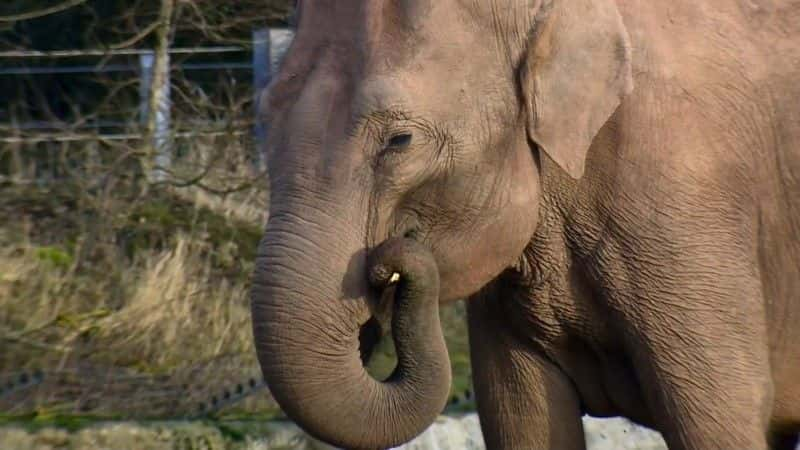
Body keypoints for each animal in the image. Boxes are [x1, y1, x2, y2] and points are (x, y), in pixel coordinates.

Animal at [247, 0, 796, 450]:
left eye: (399, 141)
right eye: (264, 118)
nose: (385, 267)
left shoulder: (682, 198)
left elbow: (717, 418)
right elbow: (519, 420)